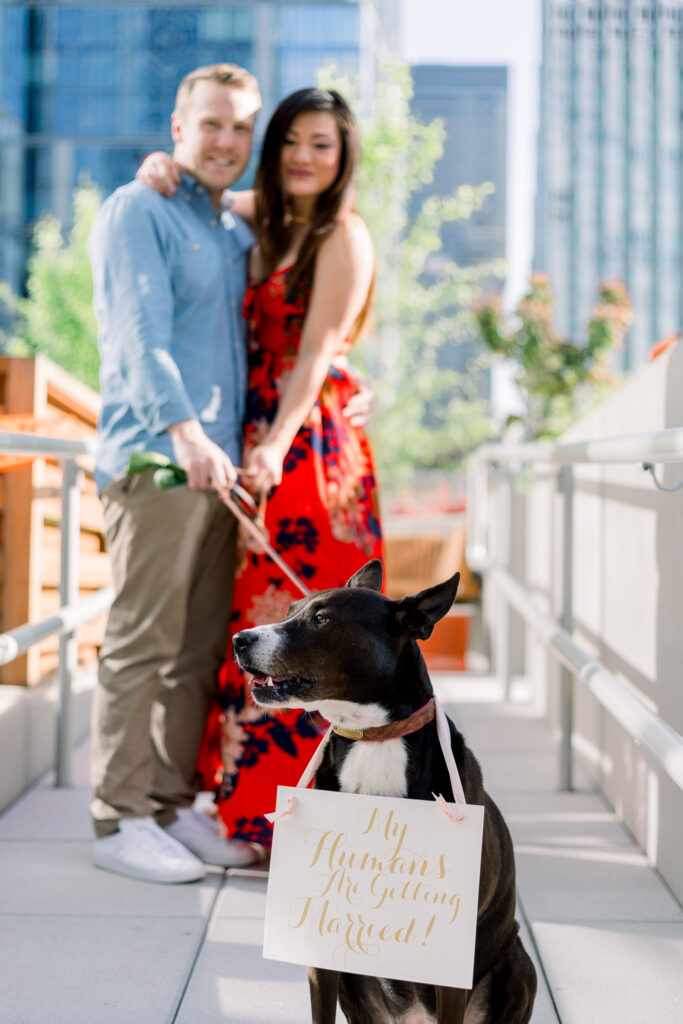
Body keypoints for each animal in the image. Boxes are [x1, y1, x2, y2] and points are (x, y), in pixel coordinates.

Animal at [235, 561, 540, 1024]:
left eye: (321, 618)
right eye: (289, 610)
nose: (239, 639)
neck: (374, 737)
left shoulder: (451, 961)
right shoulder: (320, 951)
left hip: (518, 962)